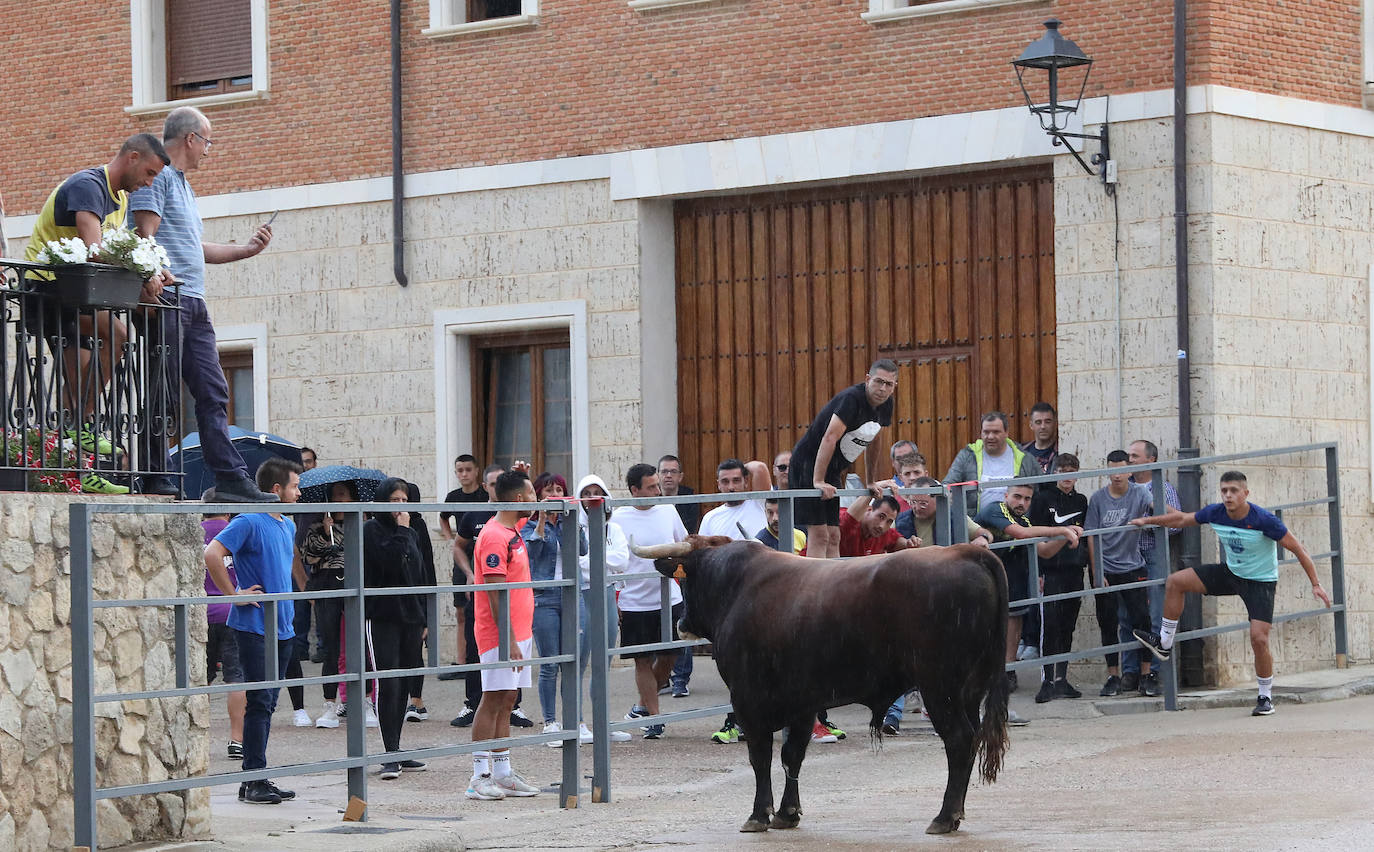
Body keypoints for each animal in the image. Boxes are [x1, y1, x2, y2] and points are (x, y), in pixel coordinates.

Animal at [634, 535, 1011, 835]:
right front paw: (787, 813)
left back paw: (945, 817)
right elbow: (792, 755)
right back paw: (956, 814)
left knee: (959, 740)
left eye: (686, 582)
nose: (681, 623)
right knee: (972, 738)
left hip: (940, 687)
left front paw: (759, 814)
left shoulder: (747, 698)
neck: (737, 585)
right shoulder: (802, 702)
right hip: (969, 689)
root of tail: (966, 552)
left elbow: (760, 757)